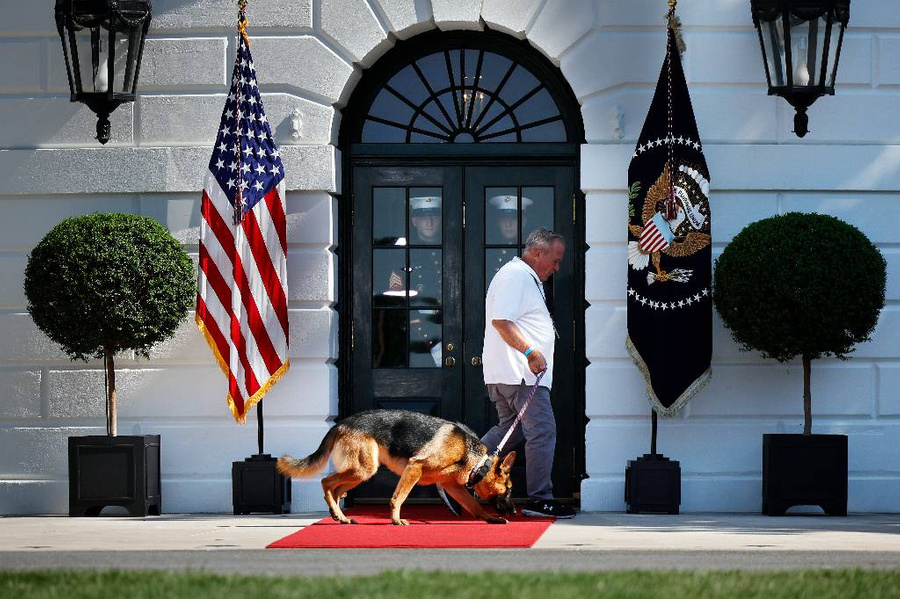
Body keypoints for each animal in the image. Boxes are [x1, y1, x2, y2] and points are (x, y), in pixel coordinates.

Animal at [274, 412, 516, 524]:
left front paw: (491, 518)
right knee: (326, 482)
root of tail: (340, 423)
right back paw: (337, 513)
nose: (514, 511)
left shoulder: (453, 487)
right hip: (363, 470)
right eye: (510, 489)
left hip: (360, 473)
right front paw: (396, 519)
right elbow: (399, 497)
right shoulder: (414, 467)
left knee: (335, 489)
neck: (477, 462)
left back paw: (340, 516)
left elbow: (475, 506)